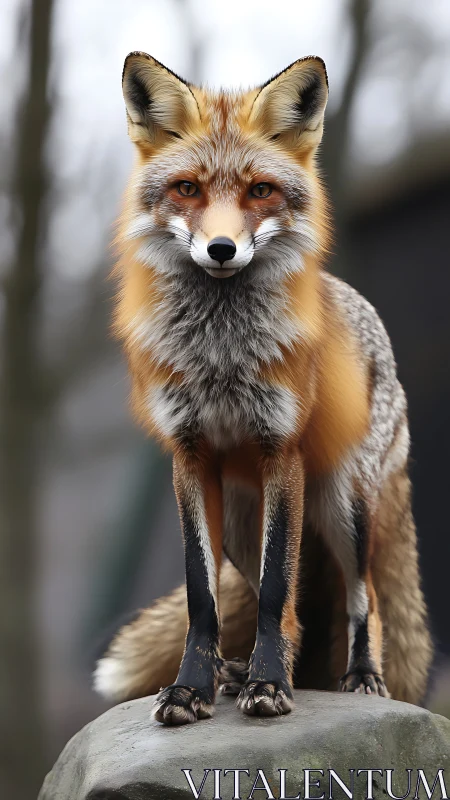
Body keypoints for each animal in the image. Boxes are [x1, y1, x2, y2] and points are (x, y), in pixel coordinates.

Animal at [93, 52, 433, 725]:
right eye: (188, 189)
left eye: (260, 190)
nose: (222, 249)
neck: (221, 356)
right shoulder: (190, 457)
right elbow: (204, 599)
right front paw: (191, 689)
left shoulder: (283, 452)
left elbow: (279, 589)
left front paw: (270, 687)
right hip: (240, 523)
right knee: (294, 611)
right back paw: (235, 675)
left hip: (342, 505)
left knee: (363, 597)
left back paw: (359, 677)